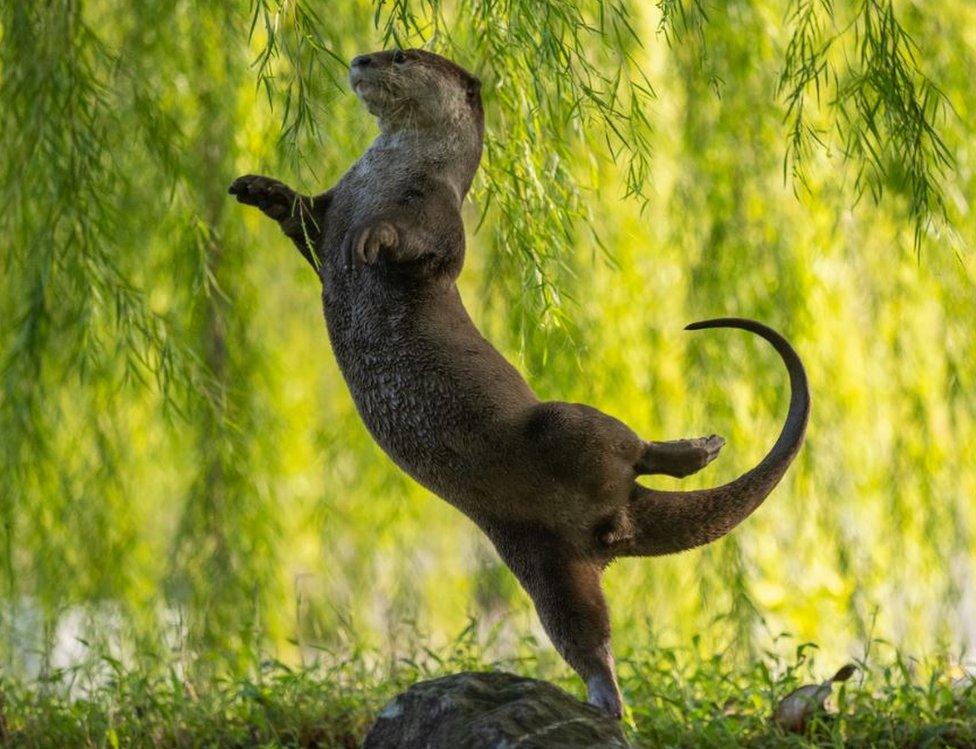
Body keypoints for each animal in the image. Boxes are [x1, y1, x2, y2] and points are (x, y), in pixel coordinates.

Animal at [229, 49, 808, 716]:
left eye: (401, 54)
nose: (360, 59)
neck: (385, 175)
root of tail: (618, 516)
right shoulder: (334, 204)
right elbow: (302, 219)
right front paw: (259, 188)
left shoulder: (436, 214)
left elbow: (418, 246)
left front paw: (374, 237)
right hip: (541, 558)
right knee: (584, 630)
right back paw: (604, 701)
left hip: (561, 426)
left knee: (628, 445)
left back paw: (698, 449)